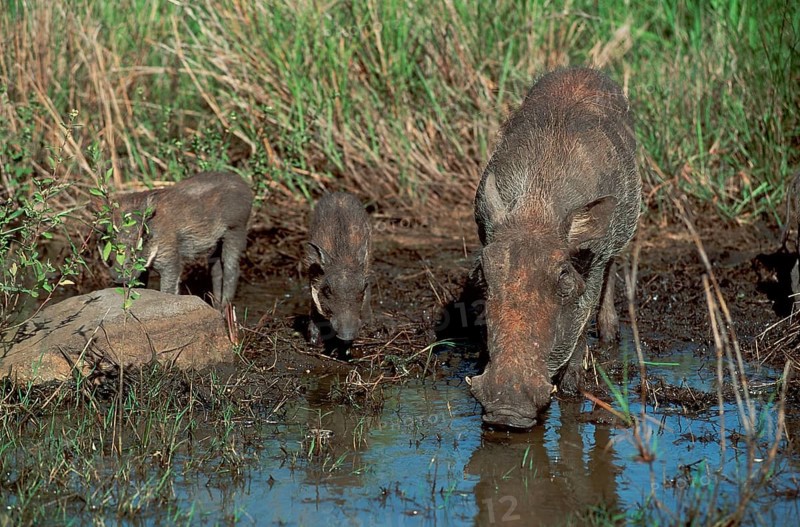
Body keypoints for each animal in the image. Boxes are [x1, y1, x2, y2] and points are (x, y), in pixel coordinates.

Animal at [102, 171, 253, 308]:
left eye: (143, 234)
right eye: (111, 233)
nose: (119, 276)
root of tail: (243, 184)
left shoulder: (170, 259)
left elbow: (168, 289)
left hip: (236, 231)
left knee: (231, 269)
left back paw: (225, 308)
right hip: (217, 244)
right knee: (216, 271)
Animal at [305, 192, 372, 345]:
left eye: (364, 287)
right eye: (327, 289)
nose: (347, 335)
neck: (342, 258)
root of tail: (339, 193)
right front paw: (314, 339)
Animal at [468, 67, 642, 429]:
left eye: (563, 277)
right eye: (483, 273)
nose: (506, 412)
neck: (536, 209)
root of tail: (582, 69)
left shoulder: (593, 261)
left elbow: (582, 320)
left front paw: (572, 389)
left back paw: (610, 335)